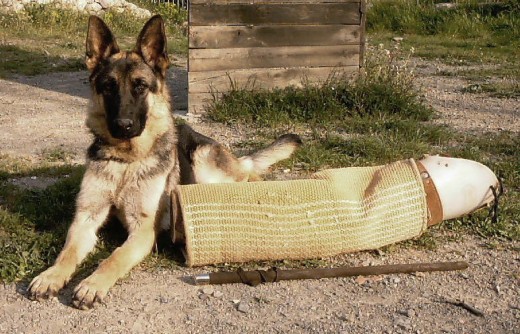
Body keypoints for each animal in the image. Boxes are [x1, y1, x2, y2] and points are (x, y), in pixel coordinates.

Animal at [27, 15, 300, 308]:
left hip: (205, 163)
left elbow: (114, 258)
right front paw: (50, 276)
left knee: (248, 174)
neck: (127, 161)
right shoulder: (86, 218)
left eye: (140, 86)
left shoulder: (142, 230)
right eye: (108, 87)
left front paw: (93, 284)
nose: (123, 125)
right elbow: (67, 252)